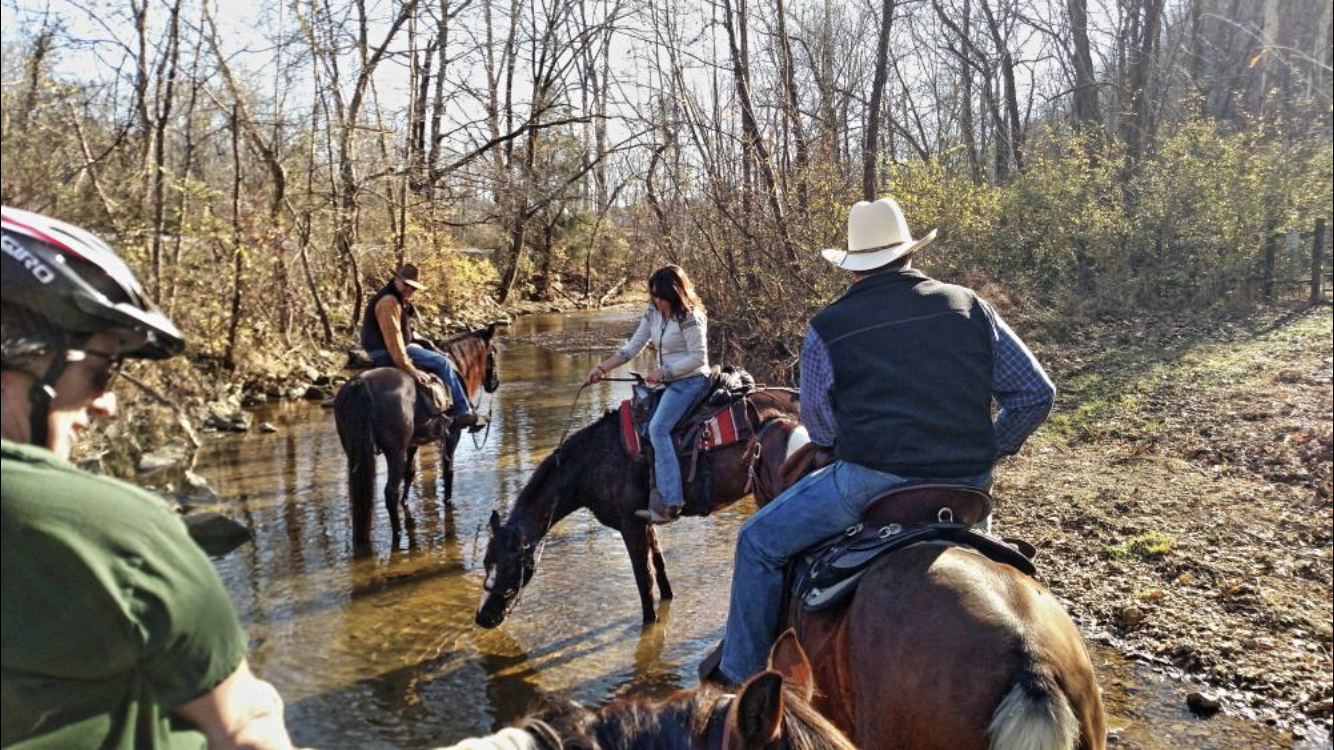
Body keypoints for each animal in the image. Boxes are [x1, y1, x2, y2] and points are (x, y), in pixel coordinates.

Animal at [333, 324, 501, 547]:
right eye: (493, 352)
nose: (494, 383)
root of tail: (361, 384)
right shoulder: (451, 435)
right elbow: (448, 470)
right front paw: (448, 501)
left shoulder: (413, 443)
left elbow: (410, 472)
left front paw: (406, 502)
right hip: (394, 451)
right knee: (390, 491)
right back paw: (396, 532)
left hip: (354, 450)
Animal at [474, 384, 795, 624]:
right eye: (487, 562)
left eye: (511, 567)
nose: (482, 618)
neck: (595, 462)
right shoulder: (644, 520)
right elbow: (660, 571)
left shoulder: (630, 525)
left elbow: (644, 583)